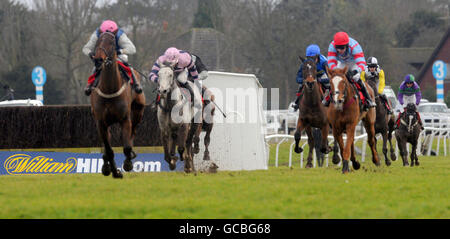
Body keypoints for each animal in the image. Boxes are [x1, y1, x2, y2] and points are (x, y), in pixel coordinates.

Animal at [91, 31, 146, 178]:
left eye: (111, 42)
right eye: (98, 41)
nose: (98, 59)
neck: (110, 88)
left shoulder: (125, 119)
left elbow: (126, 147)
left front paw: (127, 164)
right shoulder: (101, 122)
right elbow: (109, 150)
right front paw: (114, 171)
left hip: (138, 112)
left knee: (133, 132)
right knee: (106, 146)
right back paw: (107, 166)